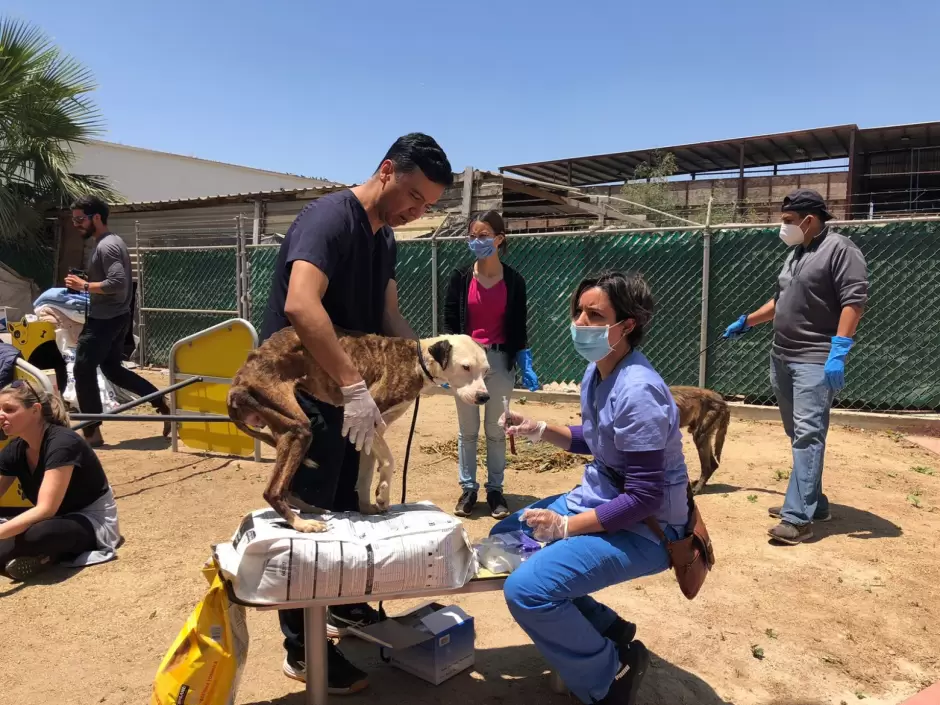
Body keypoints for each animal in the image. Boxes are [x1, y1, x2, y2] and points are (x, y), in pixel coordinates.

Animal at [225, 328, 488, 532]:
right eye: (466, 367)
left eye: (485, 370)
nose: (484, 397)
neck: (418, 360)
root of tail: (238, 381)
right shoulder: (371, 422)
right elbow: (389, 461)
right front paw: (382, 495)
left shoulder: (371, 431)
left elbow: (366, 473)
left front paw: (366, 507)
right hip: (300, 429)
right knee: (272, 491)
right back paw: (302, 524)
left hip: (285, 430)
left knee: (286, 487)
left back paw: (310, 510)